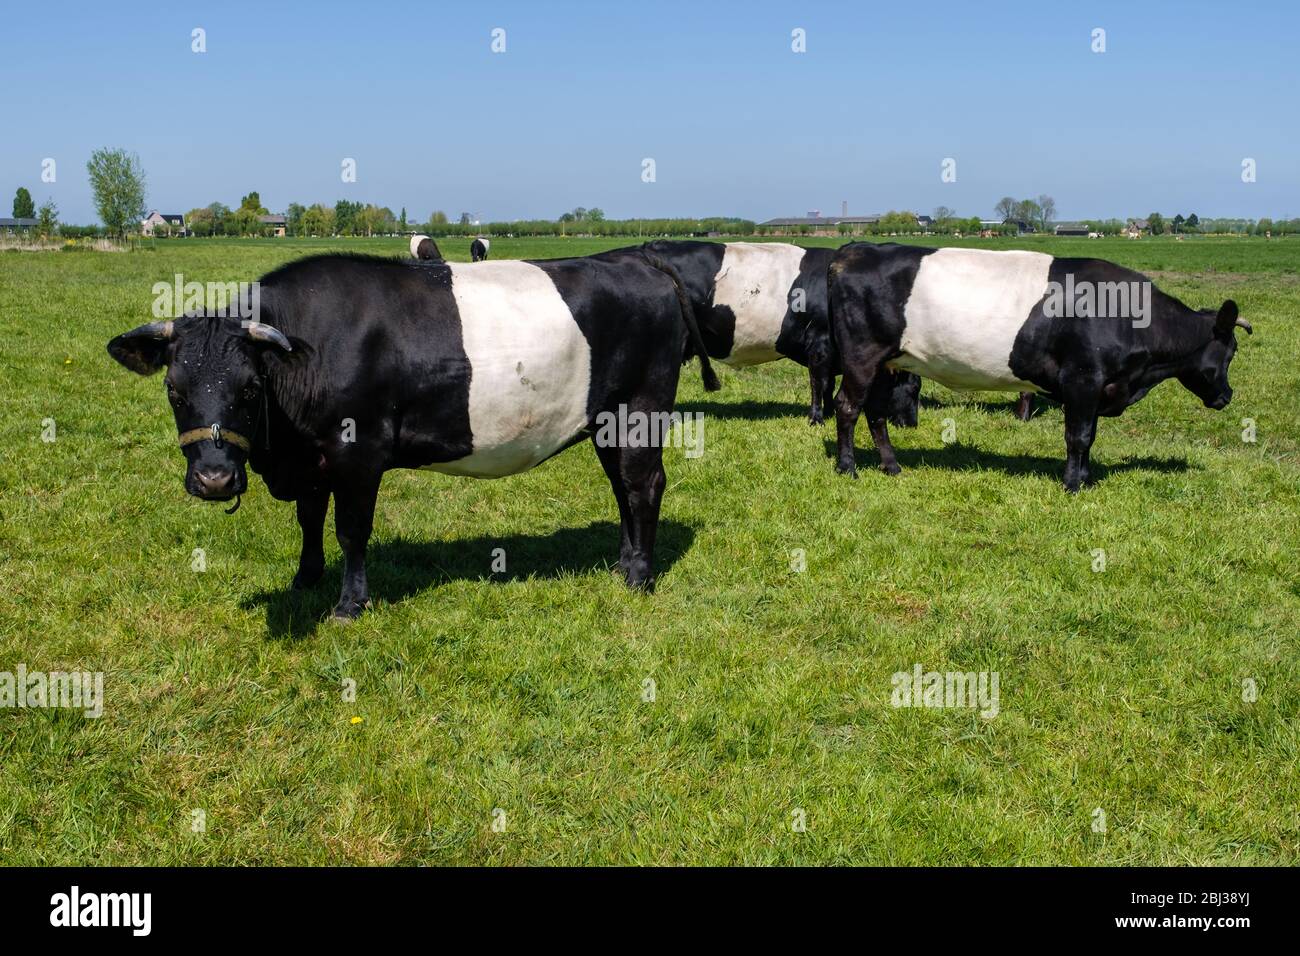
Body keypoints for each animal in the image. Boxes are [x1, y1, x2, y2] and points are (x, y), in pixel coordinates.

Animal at [109, 252, 722, 621]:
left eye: (250, 387)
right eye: (174, 390)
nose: (214, 478)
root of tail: (638, 258)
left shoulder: (357, 451)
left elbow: (351, 530)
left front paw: (349, 605)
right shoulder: (313, 458)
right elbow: (309, 519)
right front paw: (304, 579)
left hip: (641, 410)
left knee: (643, 484)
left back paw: (639, 577)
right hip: (606, 422)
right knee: (621, 487)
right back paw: (622, 562)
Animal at [595, 240, 920, 429]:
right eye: (914, 388)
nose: (912, 424)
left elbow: (826, 384)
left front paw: (826, 413)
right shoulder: (820, 343)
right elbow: (820, 383)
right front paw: (816, 419)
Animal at [821, 244, 1248, 494]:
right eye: (1229, 353)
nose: (1226, 396)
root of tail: (854, 251)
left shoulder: (1097, 387)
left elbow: (1089, 436)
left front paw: (1086, 480)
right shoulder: (1082, 379)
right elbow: (1079, 436)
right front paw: (1073, 485)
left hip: (885, 362)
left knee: (875, 412)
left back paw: (891, 466)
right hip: (862, 356)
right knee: (847, 407)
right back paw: (848, 468)